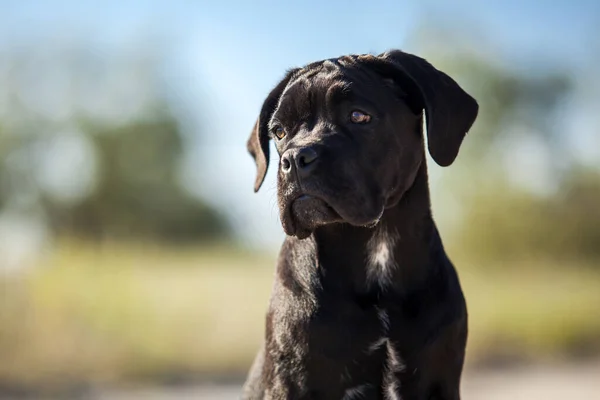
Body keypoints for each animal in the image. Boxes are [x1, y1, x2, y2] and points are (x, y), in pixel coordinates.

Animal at [243, 50, 478, 400]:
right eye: (280, 132)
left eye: (358, 116)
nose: (295, 158)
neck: (375, 247)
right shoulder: (291, 383)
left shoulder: (438, 381)